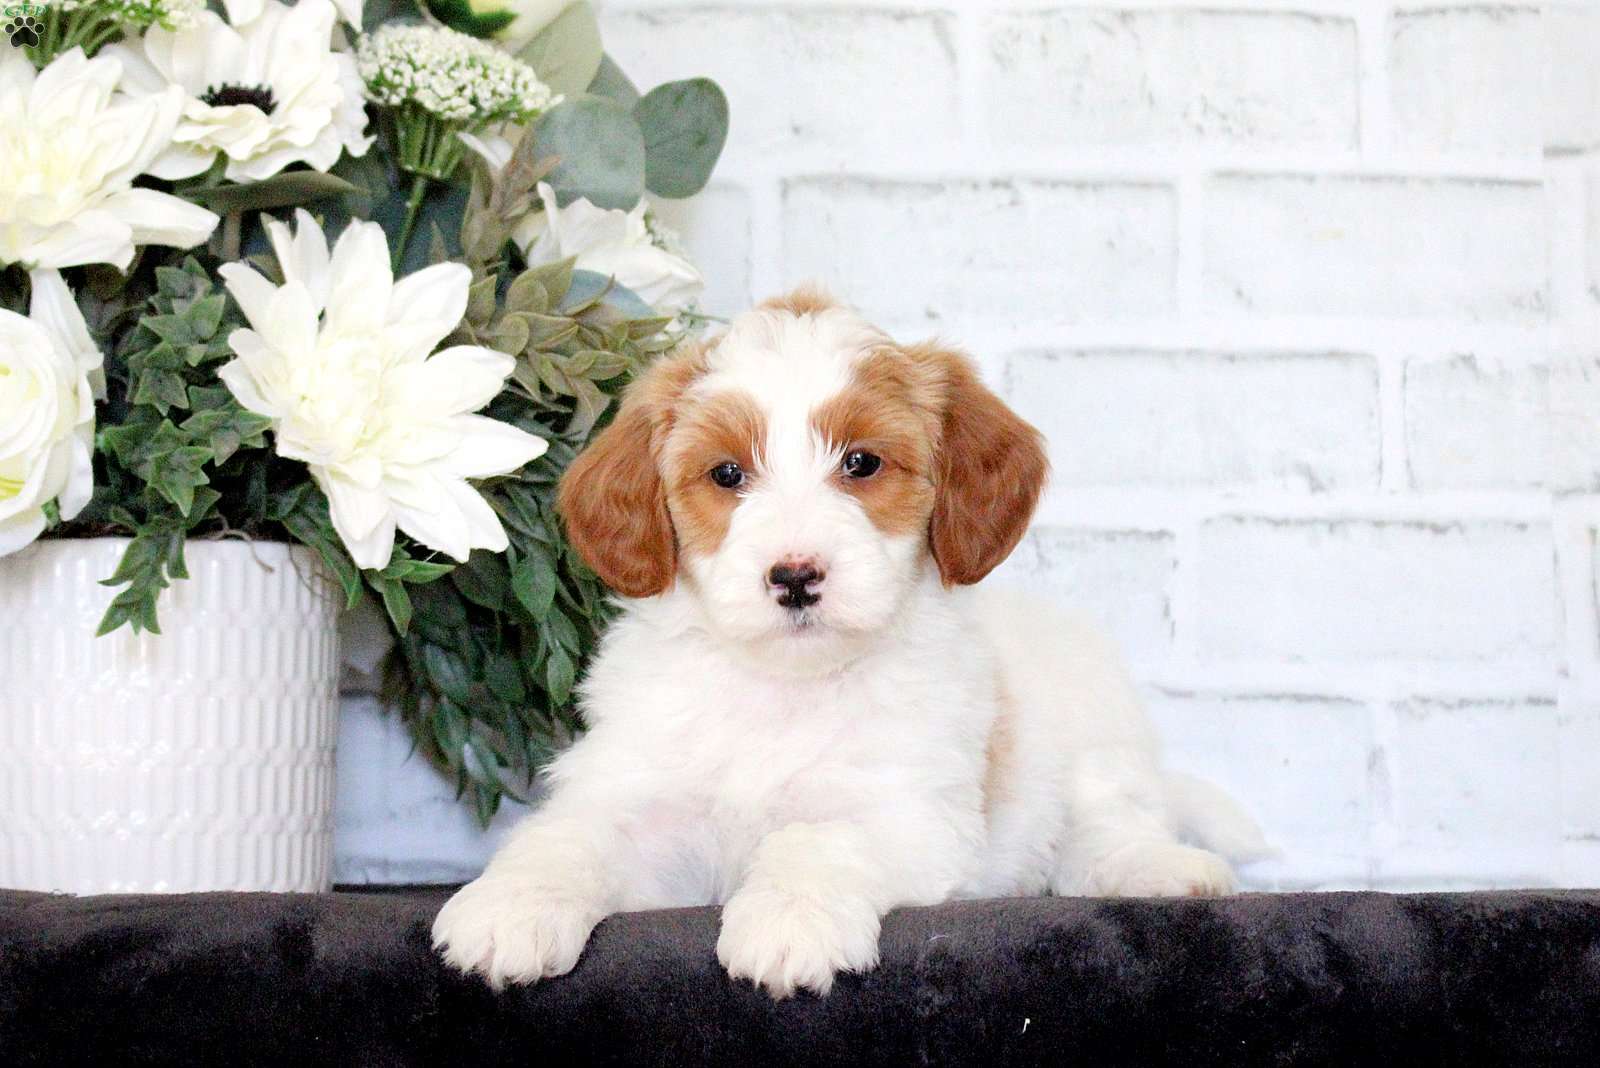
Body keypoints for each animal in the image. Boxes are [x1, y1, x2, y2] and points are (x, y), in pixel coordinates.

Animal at [432, 290, 1268, 997]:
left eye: (861, 462)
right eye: (727, 473)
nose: (796, 576)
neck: (784, 686)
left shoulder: (909, 811)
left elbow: (820, 836)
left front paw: (788, 923)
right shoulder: (647, 811)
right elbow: (569, 837)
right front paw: (507, 905)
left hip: (1096, 734)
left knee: (1107, 826)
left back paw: (1165, 869)